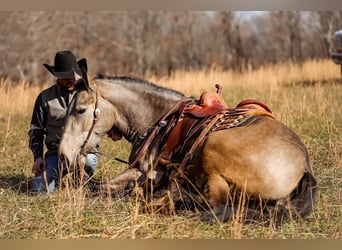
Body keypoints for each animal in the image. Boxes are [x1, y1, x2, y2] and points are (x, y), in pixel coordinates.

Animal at [58, 72, 318, 225]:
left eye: (80, 110)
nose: (63, 157)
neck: (159, 119)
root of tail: (304, 167)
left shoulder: (145, 173)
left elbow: (99, 188)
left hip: (214, 152)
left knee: (215, 204)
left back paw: (169, 198)